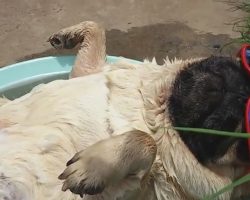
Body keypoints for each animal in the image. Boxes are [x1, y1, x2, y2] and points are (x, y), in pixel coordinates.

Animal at [0, 21, 249, 199]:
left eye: (235, 135)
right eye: (238, 64)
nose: (240, 92)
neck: (156, 112)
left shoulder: (129, 191)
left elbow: (145, 141)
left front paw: (94, 165)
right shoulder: (90, 70)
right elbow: (96, 28)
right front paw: (71, 34)